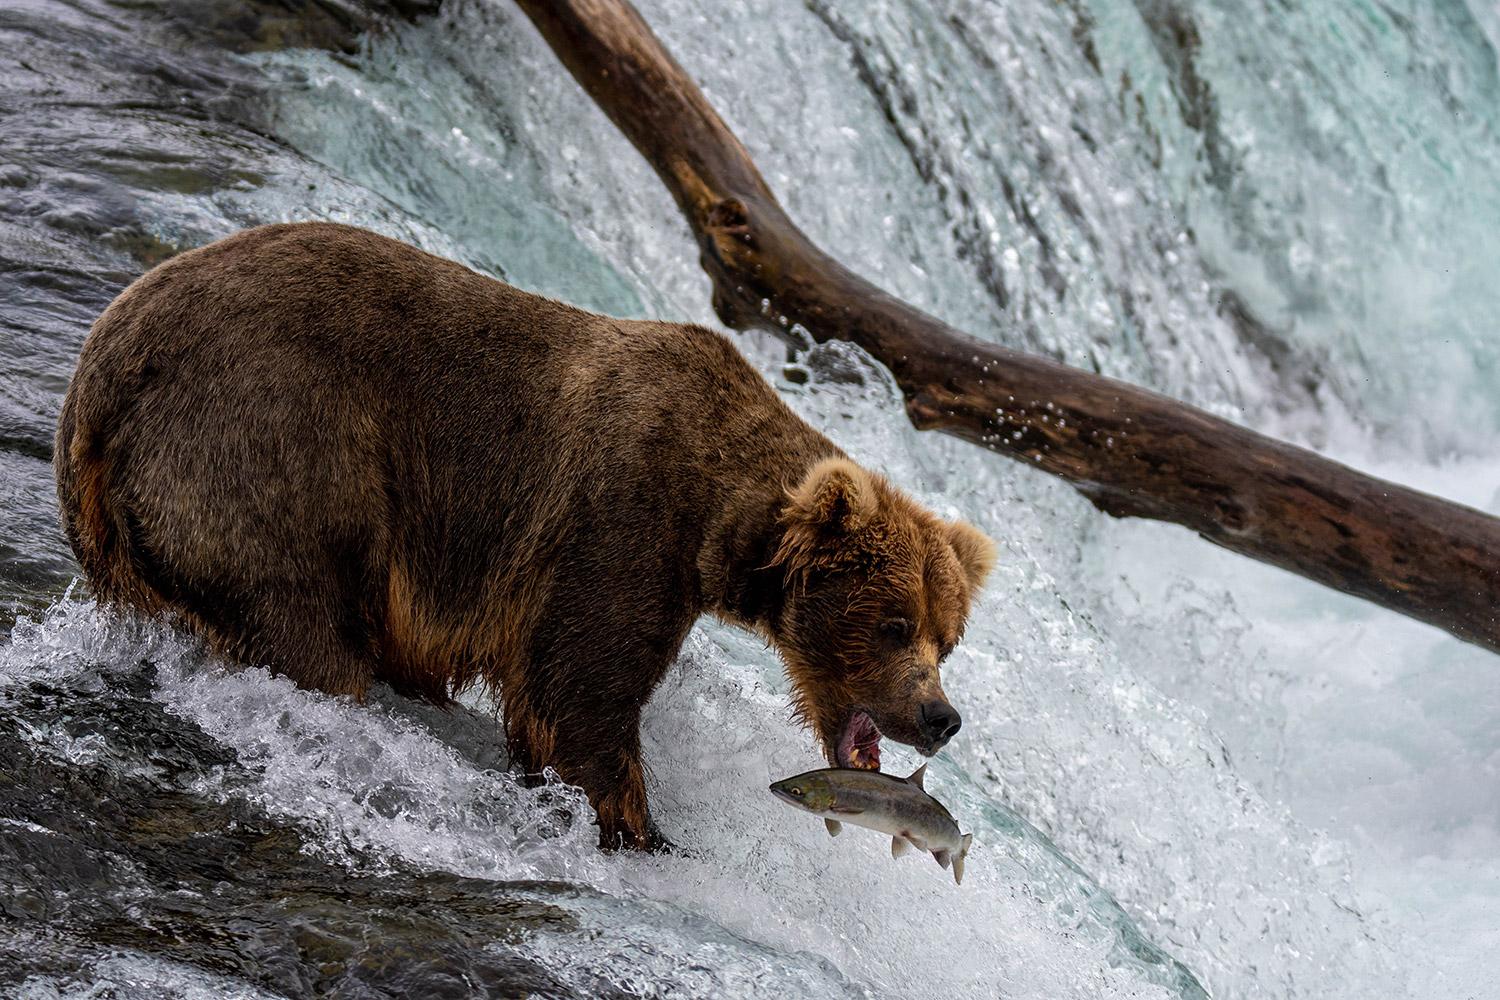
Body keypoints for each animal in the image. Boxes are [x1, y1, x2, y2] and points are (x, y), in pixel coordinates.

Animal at [54, 222, 996, 849]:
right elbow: (575, 697)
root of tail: (102, 369)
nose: (941, 716)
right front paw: (642, 830)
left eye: (947, 636)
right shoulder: (623, 518)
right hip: (271, 446)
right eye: (894, 624)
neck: (721, 520)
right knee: (305, 630)